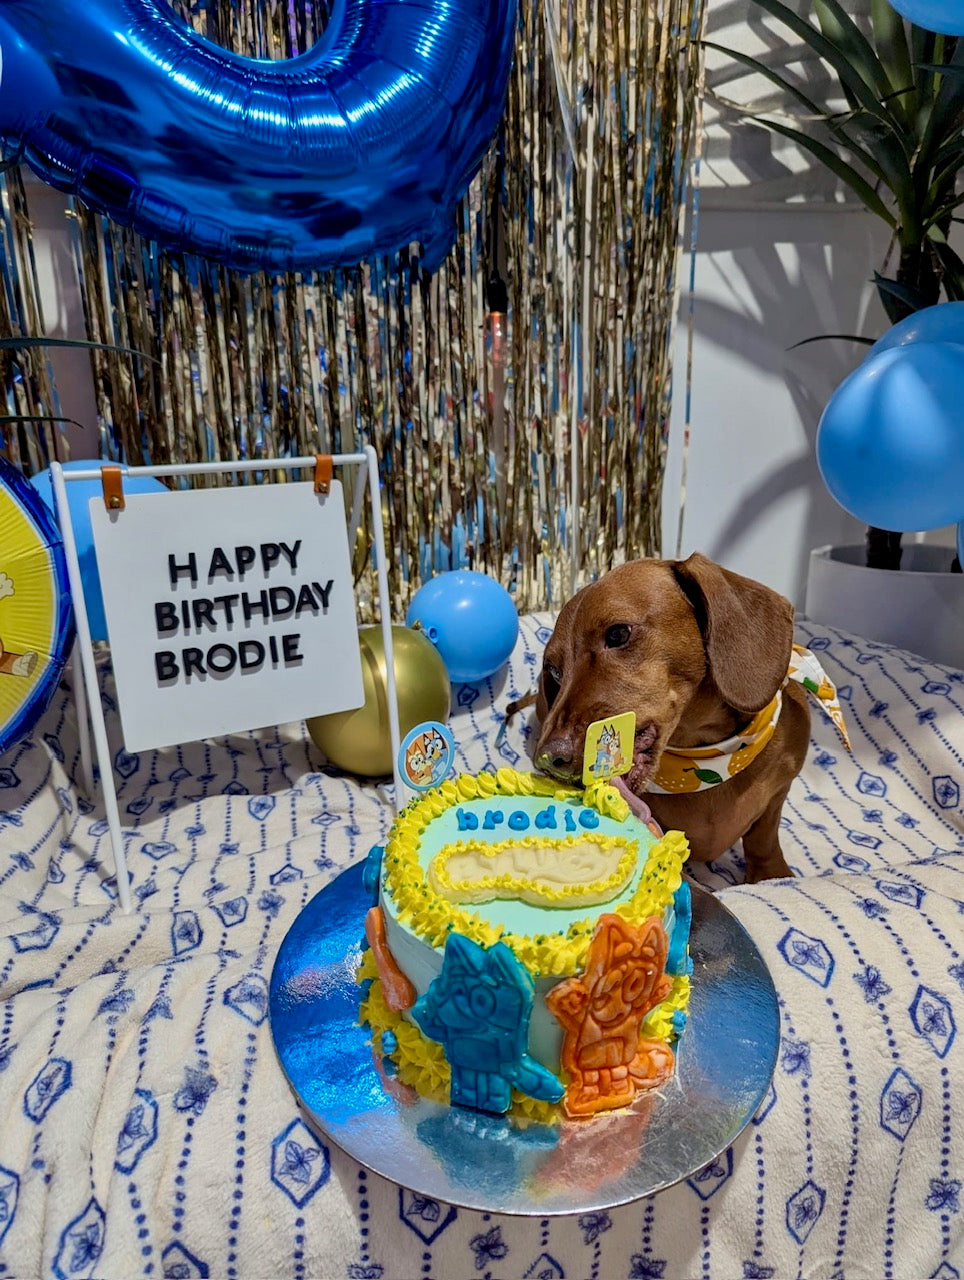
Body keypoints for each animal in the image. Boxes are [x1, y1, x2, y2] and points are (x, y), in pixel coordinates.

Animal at [530, 555, 809, 885]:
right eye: (554, 670)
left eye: (618, 634)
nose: (549, 760)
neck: (710, 758)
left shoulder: (780, 788)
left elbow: (764, 834)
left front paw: (772, 873)